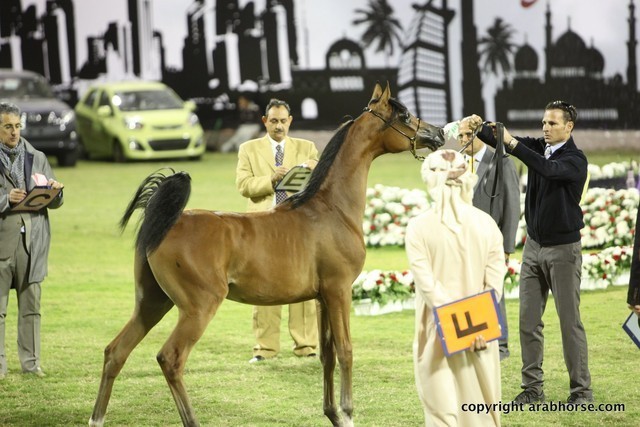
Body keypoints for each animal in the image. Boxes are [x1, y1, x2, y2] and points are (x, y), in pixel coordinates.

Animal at [88, 82, 445, 427]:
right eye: (404, 115)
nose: (438, 133)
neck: (330, 208)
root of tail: (168, 221)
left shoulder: (321, 298)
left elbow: (327, 355)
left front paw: (332, 414)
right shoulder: (339, 291)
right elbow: (345, 351)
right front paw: (347, 413)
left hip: (151, 303)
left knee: (115, 352)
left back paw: (97, 418)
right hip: (197, 308)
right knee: (170, 358)